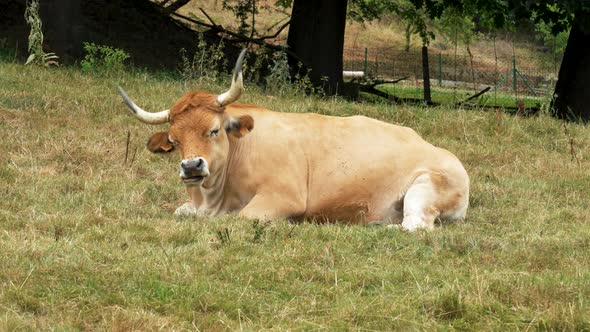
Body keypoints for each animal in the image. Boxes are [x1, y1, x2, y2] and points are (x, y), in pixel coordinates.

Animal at [119, 49, 472, 231]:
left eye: (214, 130)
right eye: (175, 140)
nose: (192, 166)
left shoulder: (282, 197)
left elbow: (241, 218)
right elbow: (180, 212)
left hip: (425, 190)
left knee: (416, 225)